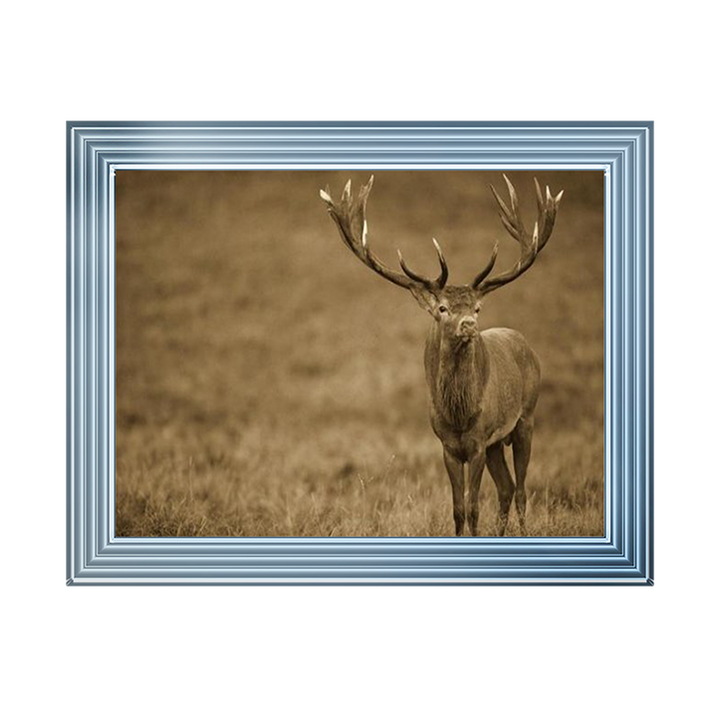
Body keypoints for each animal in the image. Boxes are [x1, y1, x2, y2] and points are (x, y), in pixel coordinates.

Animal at [320, 174, 563, 536]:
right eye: (442, 308)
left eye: (477, 307)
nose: (469, 325)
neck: (459, 415)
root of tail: (525, 344)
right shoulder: (448, 446)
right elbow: (458, 508)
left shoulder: (477, 442)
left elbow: (474, 507)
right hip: (497, 443)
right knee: (506, 488)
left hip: (526, 418)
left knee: (520, 490)